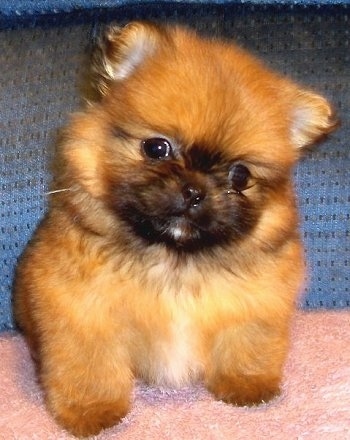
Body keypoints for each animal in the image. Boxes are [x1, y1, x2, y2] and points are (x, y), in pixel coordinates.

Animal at [13, 22, 336, 438]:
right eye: (157, 148)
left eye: (240, 175)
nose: (195, 191)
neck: (175, 258)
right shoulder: (84, 313)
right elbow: (90, 368)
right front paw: (92, 412)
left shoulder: (257, 302)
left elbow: (247, 343)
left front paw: (246, 385)